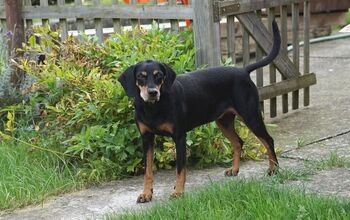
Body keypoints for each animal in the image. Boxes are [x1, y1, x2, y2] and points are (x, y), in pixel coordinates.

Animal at [119, 20, 280, 203]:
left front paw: (178, 192)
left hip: (250, 115)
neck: (154, 107)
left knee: (268, 140)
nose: (152, 92)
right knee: (238, 142)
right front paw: (146, 193)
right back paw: (234, 170)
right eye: (141, 76)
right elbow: (147, 170)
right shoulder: (146, 138)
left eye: (159, 75)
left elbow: (180, 169)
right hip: (223, 121)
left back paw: (273, 169)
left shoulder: (179, 137)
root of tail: (243, 70)